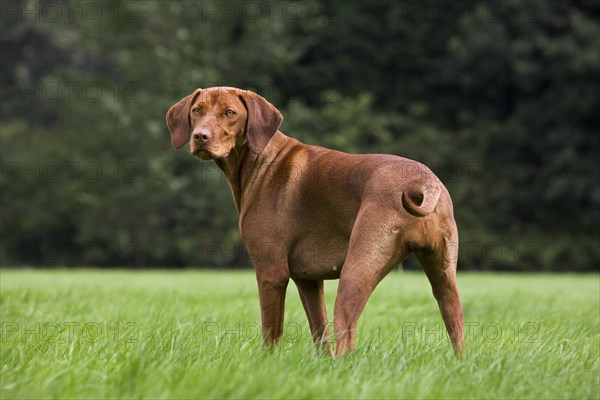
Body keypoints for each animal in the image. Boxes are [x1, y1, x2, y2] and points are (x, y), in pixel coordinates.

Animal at [166, 86, 466, 358]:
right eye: (197, 110)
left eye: (230, 113)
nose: (200, 136)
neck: (261, 160)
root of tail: (422, 182)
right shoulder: (307, 279)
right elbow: (320, 335)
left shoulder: (271, 272)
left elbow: (271, 334)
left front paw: (266, 365)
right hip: (444, 277)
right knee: (456, 328)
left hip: (355, 272)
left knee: (347, 338)